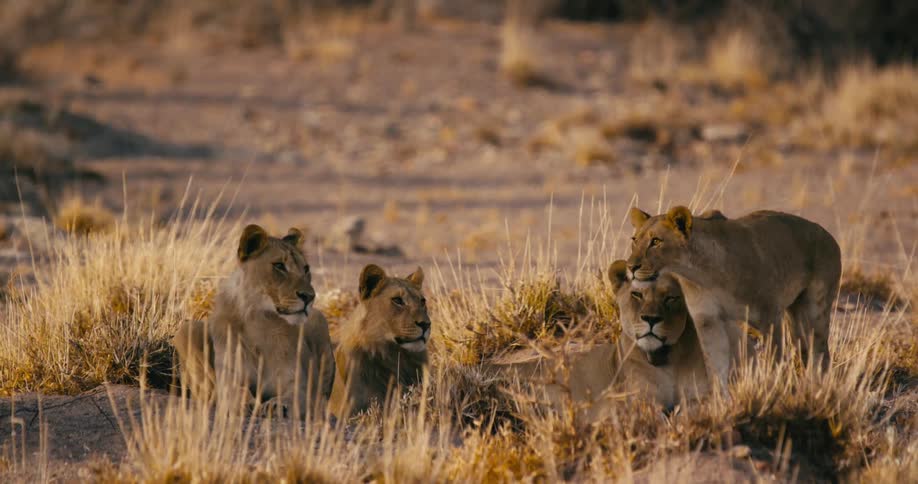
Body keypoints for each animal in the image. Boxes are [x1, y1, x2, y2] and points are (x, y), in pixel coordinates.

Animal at [173, 224, 335, 418]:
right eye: (279, 266)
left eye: (306, 269)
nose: (309, 297)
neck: (262, 321)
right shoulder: (229, 376)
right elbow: (234, 391)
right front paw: (245, 404)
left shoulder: (299, 383)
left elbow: (296, 395)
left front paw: (278, 406)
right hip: (187, 329)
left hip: (319, 320)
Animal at [626, 206, 841, 387]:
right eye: (634, 240)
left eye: (656, 241)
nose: (631, 267)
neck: (701, 274)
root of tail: (829, 236)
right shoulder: (708, 320)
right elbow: (715, 364)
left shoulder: (770, 316)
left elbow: (774, 359)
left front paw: (773, 388)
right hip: (796, 315)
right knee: (805, 350)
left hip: (816, 311)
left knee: (820, 353)